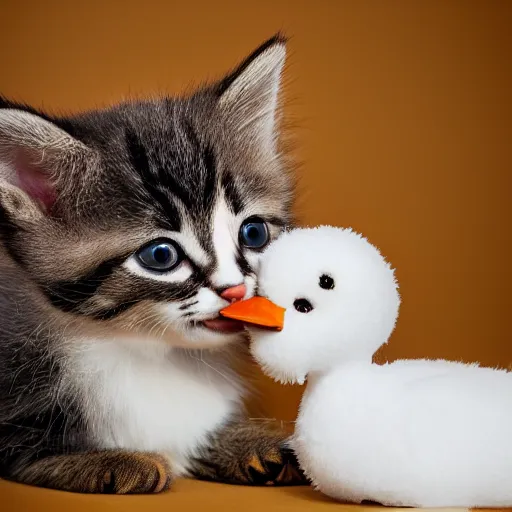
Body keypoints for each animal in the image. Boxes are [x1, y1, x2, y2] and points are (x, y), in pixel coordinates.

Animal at [0, 35, 304, 492]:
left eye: (253, 234)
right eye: (161, 256)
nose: (234, 290)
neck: (150, 355)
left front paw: (246, 438)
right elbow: (26, 445)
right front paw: (100, 460)